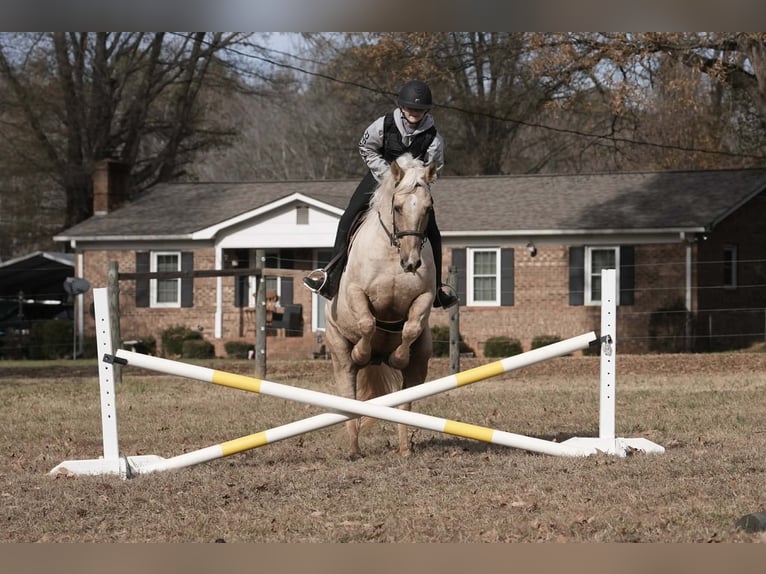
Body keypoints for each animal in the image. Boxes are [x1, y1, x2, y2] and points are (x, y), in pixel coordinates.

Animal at [323, 153, 438, 459]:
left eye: (428, 208)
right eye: (397, 207)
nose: (411, 263)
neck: (392, 251)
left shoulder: (424, 297)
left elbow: (410, 328)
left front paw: (397, 356)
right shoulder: (355, 292)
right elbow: (367, 322)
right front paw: (361, 352)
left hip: (420, 362)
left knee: (405, 403)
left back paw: (404, 449)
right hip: (339, 355)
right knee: (350, 400)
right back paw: (354, 450)